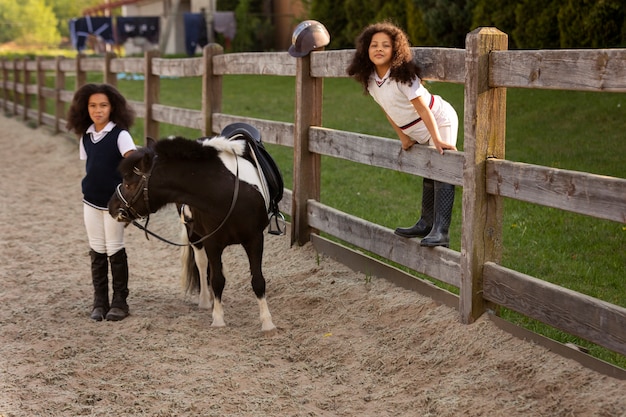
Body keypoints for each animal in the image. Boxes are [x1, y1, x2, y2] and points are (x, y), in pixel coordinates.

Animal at [108, 126, 282, 332]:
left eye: (129, 184)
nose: (112, 207)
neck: (227, 193)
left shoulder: (255, 239)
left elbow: (258, 280)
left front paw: (268, 323)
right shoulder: (212, 242)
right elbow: (217, 279)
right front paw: (218, 319)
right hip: (194, 235)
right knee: (202, 264)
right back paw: (206, 301)